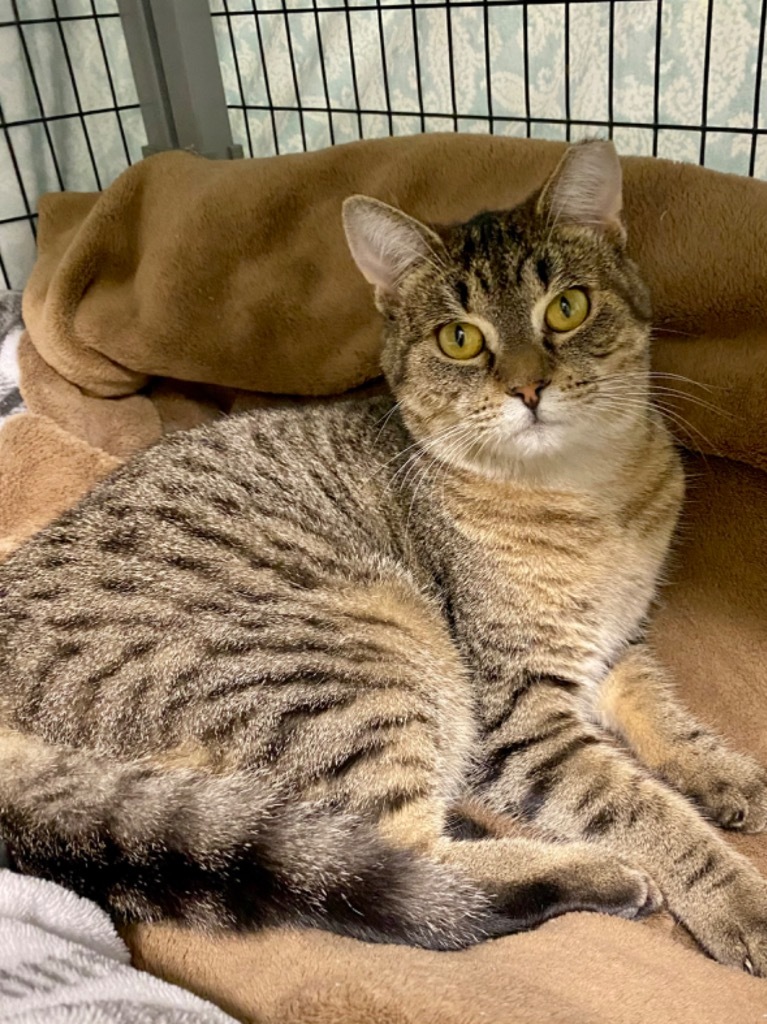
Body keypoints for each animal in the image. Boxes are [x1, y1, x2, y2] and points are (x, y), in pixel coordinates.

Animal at [1, 140, 765, 970]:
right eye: (459, 339)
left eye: (566, 307)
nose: (528, 387)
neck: (592, 492)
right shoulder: (516, 707)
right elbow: (638, 807)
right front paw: (734, 898)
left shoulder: (617, 641)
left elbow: (664, 715)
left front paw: (722, 773)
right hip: (362, 661)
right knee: (400, 868)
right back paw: (590, 874)